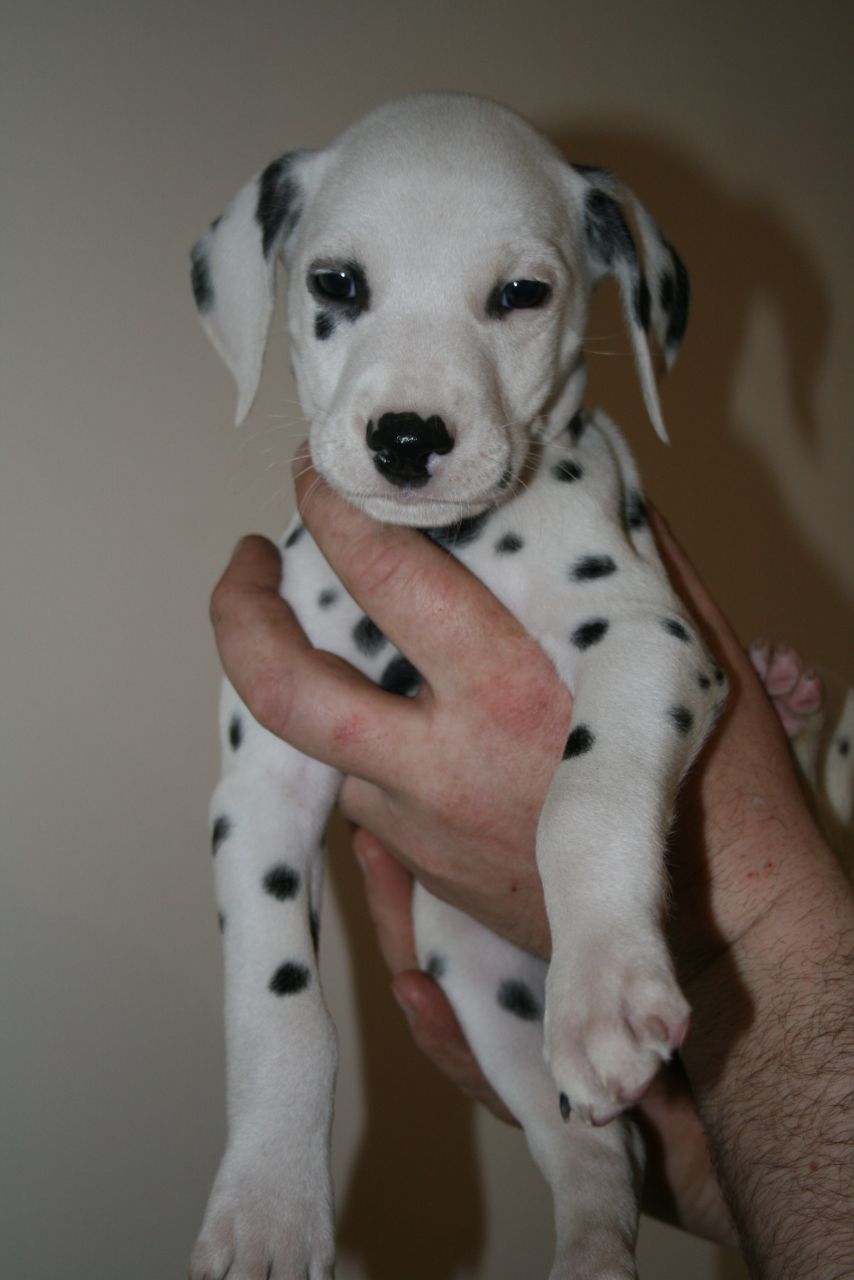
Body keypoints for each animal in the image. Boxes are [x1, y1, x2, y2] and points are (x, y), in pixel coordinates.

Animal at [185, 92, 722, 1280]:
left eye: (521, 293)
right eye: (337, 282)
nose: (406, 438)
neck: (453, 548)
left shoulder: (647, 639)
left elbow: (584, 798)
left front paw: (604, 980)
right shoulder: (265, 787)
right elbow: (276, 1004)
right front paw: (268, 1200)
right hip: (479, 986)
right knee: (595, 1154)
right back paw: (591, 1244)